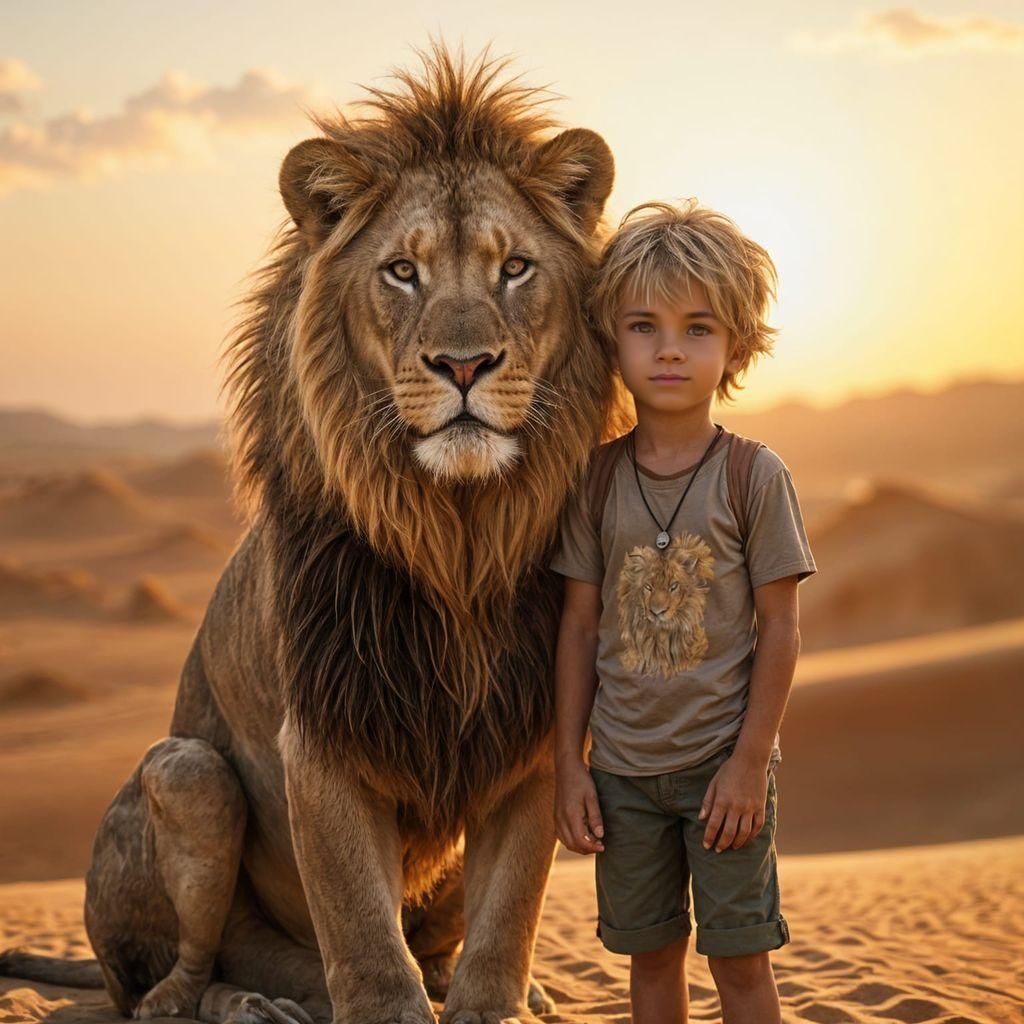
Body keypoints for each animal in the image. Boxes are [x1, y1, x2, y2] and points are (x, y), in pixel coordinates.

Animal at [0, 47, 622, 1024]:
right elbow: (363, 937)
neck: (458, 536)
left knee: (427, 949)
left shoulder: (533, 738)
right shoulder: (322, 739)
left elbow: (505, 923)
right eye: (401, 272)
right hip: (188, 774)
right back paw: (250, 1004)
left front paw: (499, 1001)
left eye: (516, 268)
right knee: (172, 983)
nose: (465, 366)